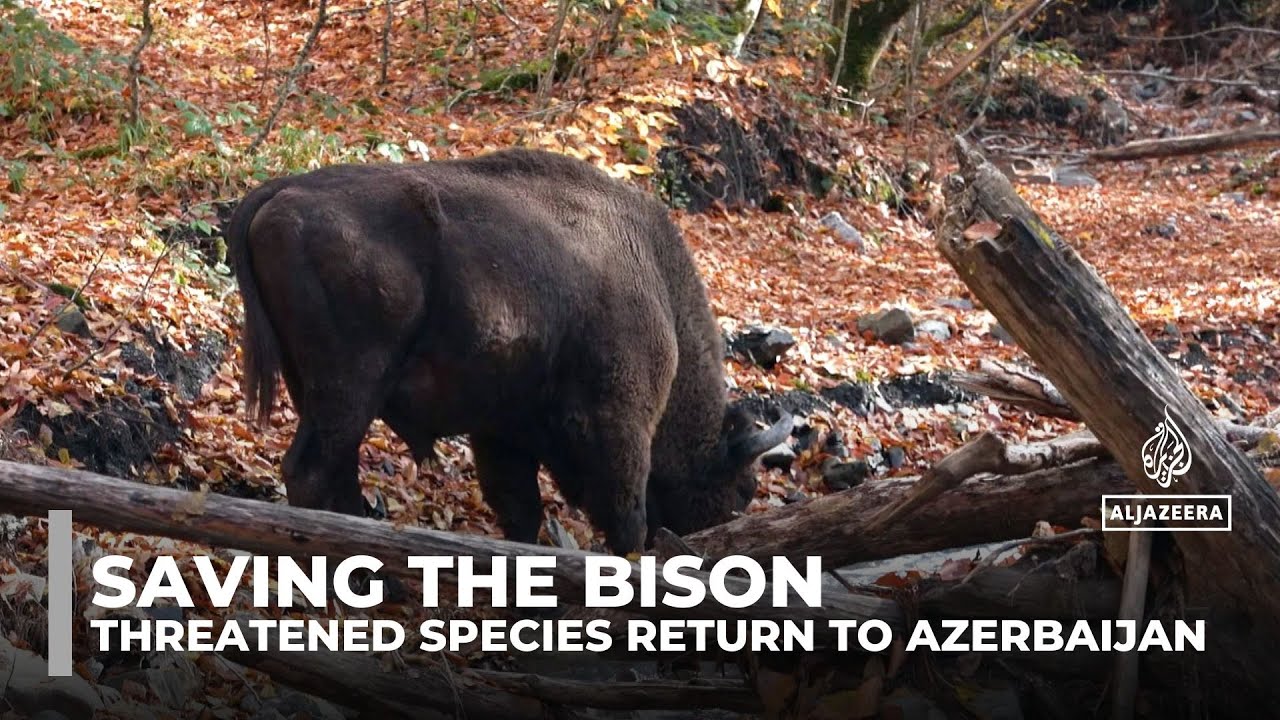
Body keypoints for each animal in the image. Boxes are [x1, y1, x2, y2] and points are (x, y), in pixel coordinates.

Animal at [225, 148, 791, 554]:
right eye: (743, 489)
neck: (657, 286)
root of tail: (278, 191)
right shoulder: (620, 423)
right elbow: (624, 519)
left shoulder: (501, 432)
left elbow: (521, 512)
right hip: (349, 388)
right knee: (312, 472)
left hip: (318, 392)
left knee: (334, 476)